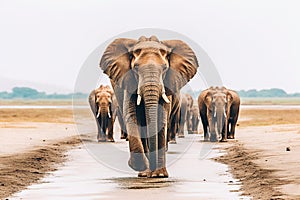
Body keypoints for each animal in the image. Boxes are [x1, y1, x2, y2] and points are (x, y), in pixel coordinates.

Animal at [99, 35, 199, 177]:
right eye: (135, 67)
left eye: (165, 68)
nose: (152, 169)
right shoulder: (128, 81)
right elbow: (132, 116)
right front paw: (142, 168)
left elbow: (161, 119)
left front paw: (160, 175)